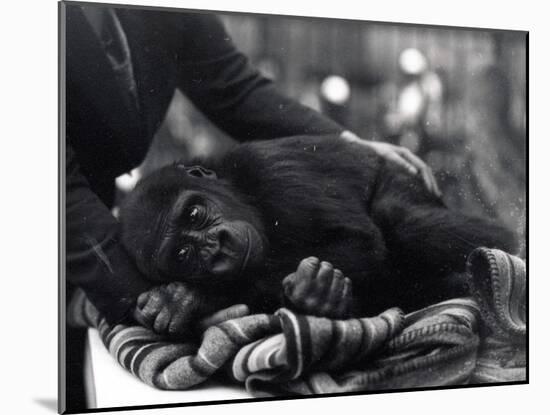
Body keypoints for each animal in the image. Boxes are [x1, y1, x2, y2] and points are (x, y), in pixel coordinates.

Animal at [119, 135, 516, 336]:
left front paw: (193, 298)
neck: (241, 189)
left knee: (403, 220)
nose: (216, 249)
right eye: (183, 255)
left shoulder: (271, 169)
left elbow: (359, 241)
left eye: (195, 214)